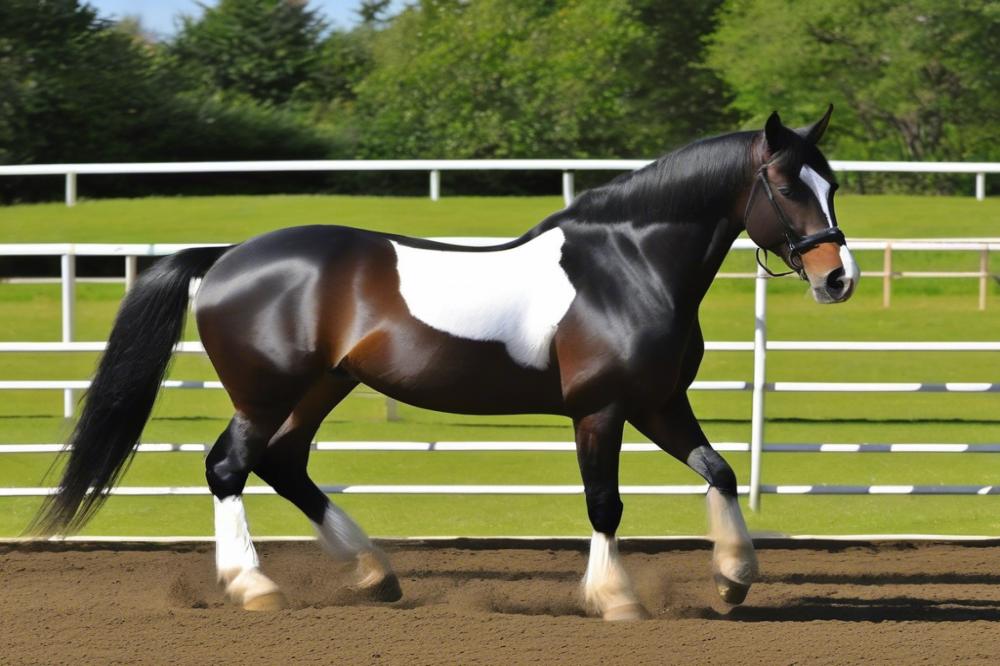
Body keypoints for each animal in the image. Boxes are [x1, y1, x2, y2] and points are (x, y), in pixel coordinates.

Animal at [35, 106, 856, 620]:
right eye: (787, 185)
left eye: (834, 183)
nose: (837, 278)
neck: (625, 265)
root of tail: (229, 256)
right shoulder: (600, 411)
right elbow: (605, 505)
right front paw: (615, 599)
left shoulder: (658, 403)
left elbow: (720, 471)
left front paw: (733, 580)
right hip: (266, 393)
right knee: (230, 469)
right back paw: (254, 587)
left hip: (320, 386)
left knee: (284, 463)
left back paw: (375, 574)